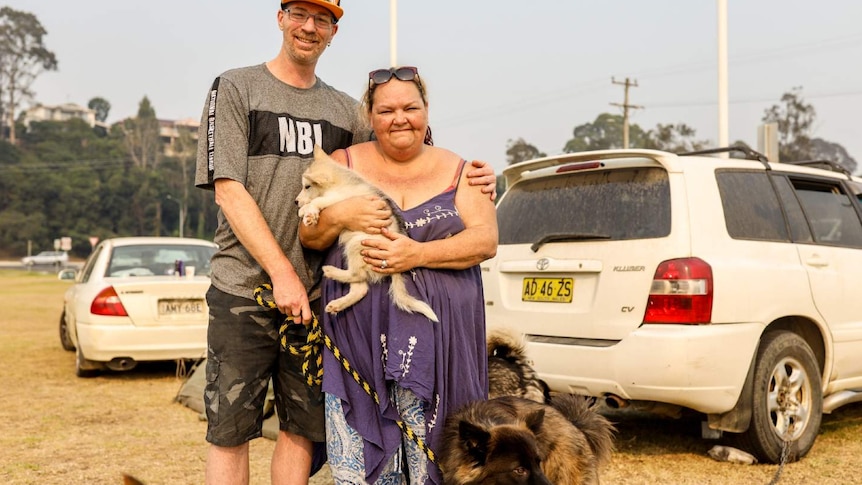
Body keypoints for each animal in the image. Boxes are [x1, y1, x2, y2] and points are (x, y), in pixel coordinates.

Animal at [300, 146, 442, 324]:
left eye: (307, 187)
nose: (295, 202)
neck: (342, 182)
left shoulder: (340, 199)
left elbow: (318, 201)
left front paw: (308, 212)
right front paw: (304, 211)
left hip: (356, 244)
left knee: (357, 275)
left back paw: (331, 271)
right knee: (360, 288)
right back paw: (337, 304)